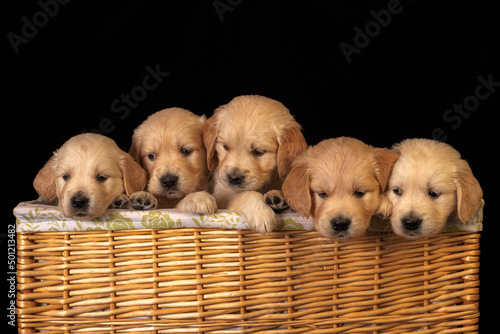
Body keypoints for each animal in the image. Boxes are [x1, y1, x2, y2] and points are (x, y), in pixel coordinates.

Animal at [201, 95, 306, 234]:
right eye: (225, 147)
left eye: (258, 152)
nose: (234, 178)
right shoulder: (222, 194)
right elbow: (246, 194)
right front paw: (261, 213)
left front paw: (277, 197)